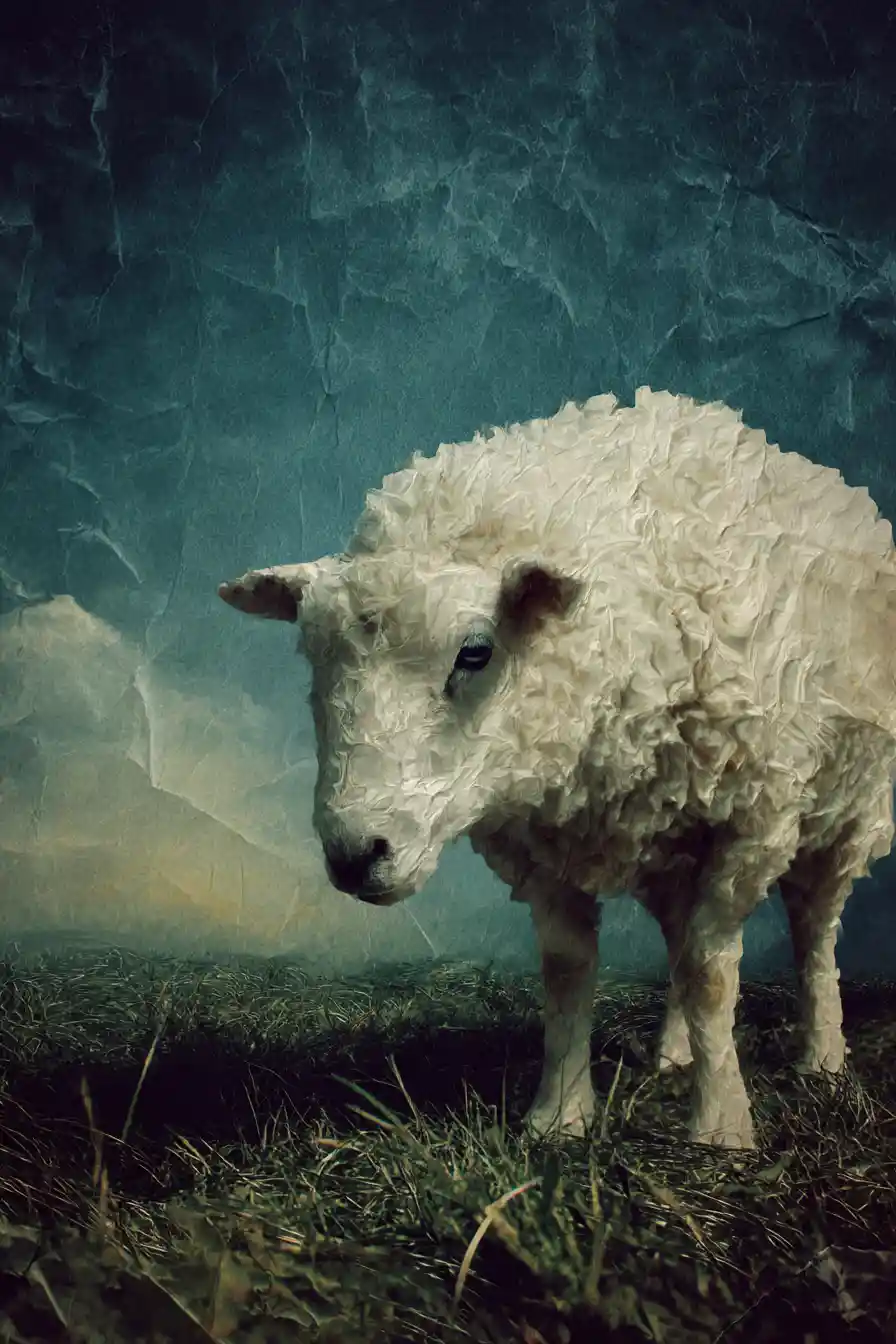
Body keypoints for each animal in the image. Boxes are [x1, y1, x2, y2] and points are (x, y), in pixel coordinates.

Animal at [219, 387, 896, 1149]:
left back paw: (821, 1055)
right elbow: (569, 968)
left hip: (846, 808)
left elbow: (712, 972)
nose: (356, 854)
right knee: (678, 936)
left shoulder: (751, 821)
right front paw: (559, 1117)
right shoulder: (538, 840)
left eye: (475, 652)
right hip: (670, 838)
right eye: (313, 661)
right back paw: (675, 1052)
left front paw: (720, 1128)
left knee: (812, 926)